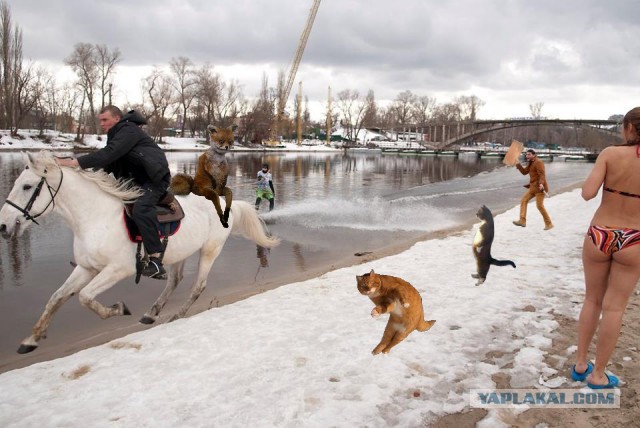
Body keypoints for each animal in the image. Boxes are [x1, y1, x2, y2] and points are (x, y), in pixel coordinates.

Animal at [0, 151, 280, 354]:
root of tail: (224, 202)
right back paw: (151, 313)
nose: (3, 226)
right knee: (174, 281)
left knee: (197, 286)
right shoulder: (86, 268)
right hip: (180, 253)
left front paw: (119, 308)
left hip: (210, 249)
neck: (95, 218)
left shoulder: (117, 269)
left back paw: (176, 315)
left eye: (27, 186)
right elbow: (57, 298)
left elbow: (85, 297)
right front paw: (32, 338)